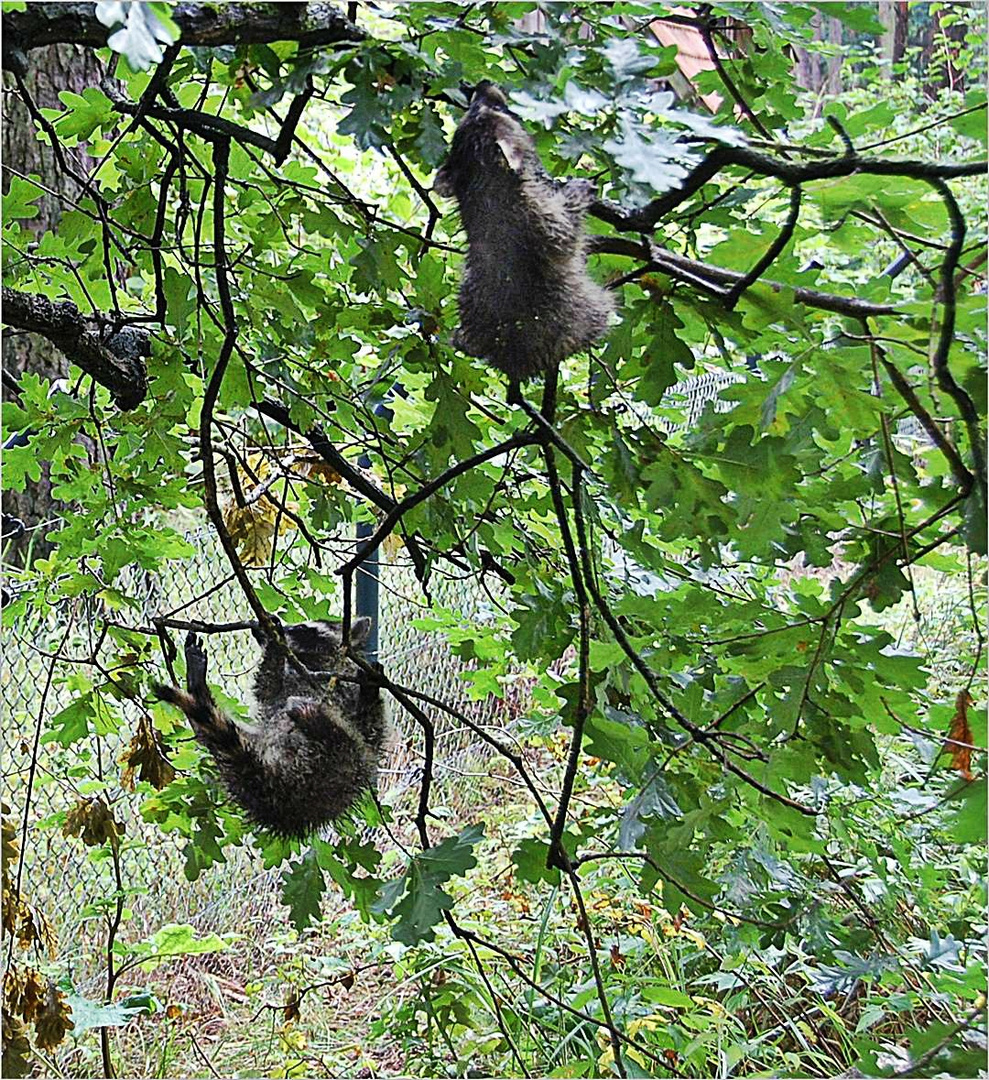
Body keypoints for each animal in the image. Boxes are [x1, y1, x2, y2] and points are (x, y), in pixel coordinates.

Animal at [152, 617, 384, 833]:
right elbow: (267, 687)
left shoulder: (341, 683)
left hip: (341, 769)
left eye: (301, 628)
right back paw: (198, 690)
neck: (308, 661)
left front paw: (274, 642)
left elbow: (370, 728)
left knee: (350, 747)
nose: (259, 628)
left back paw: (320, 722)